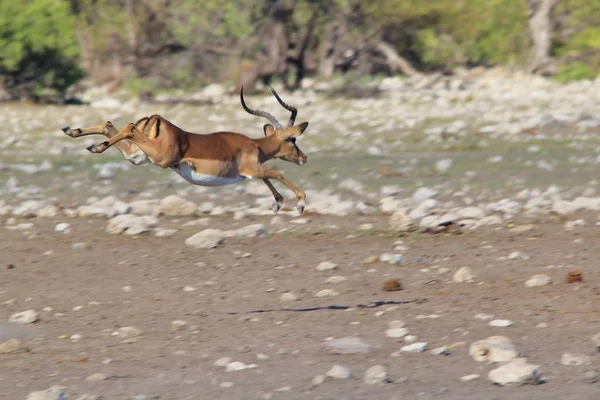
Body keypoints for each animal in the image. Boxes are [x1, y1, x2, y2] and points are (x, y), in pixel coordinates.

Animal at [62, 86, 310, 214]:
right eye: (293, 140)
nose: (304, 157)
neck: (255, 145)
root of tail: (154, 118)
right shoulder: (251, 169)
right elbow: (276, 172)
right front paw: (300, 203)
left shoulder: (253, 171)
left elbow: (269, 177)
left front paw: (278, 203)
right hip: (158, 158)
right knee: (129, 127)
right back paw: (94, 144)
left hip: (139, 156)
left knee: (109, 125)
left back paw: (76, 134)